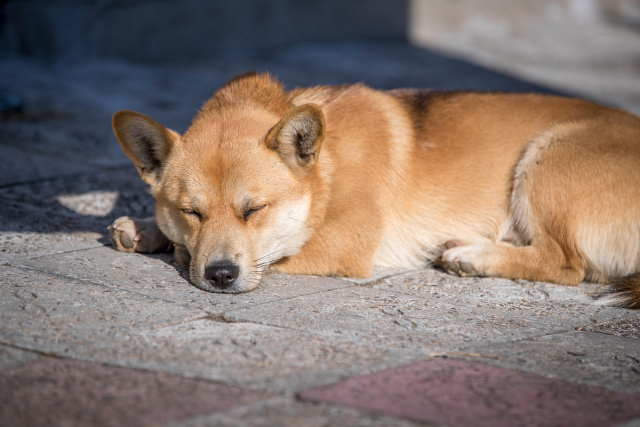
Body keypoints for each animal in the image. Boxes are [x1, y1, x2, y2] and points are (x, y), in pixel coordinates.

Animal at [107, 72, 640, 308]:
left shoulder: (344, 243)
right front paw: (147, 227)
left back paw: (473, 256)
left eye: (254, 210)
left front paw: (170, 246)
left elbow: (277, 252)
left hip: (547, 158)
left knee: (565, 263)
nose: (219, 276)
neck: (328, 167)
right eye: (191, 212)